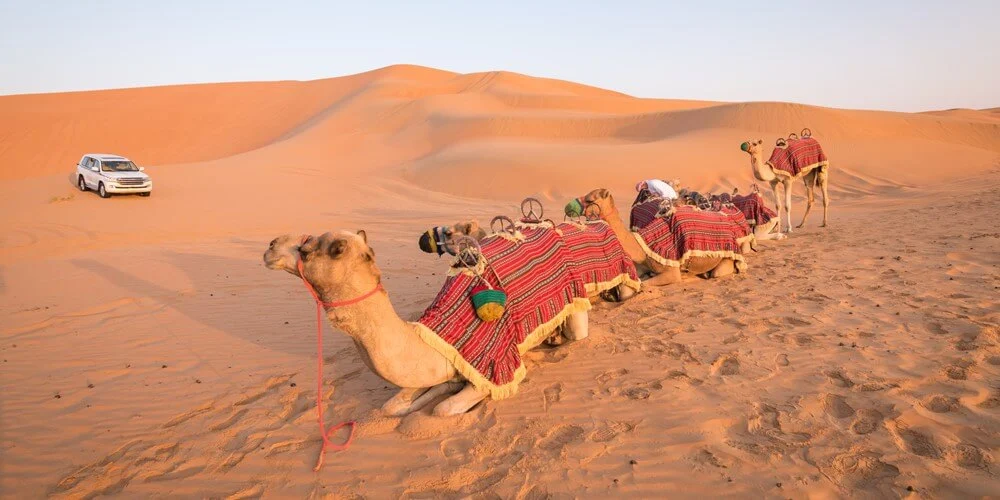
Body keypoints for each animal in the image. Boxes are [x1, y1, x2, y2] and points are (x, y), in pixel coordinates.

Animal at [263, 230, 590, 417]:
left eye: (306, 250)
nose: (270, 245)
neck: (439, 336)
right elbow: (392, 406)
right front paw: (441, 387)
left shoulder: (496, 364)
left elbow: (444, 409)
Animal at [576, 188, 737, 285]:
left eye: (590, 200)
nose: (573, 205)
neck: (644, 246)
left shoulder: (671, 269)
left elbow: (645, 284)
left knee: (717, 272)